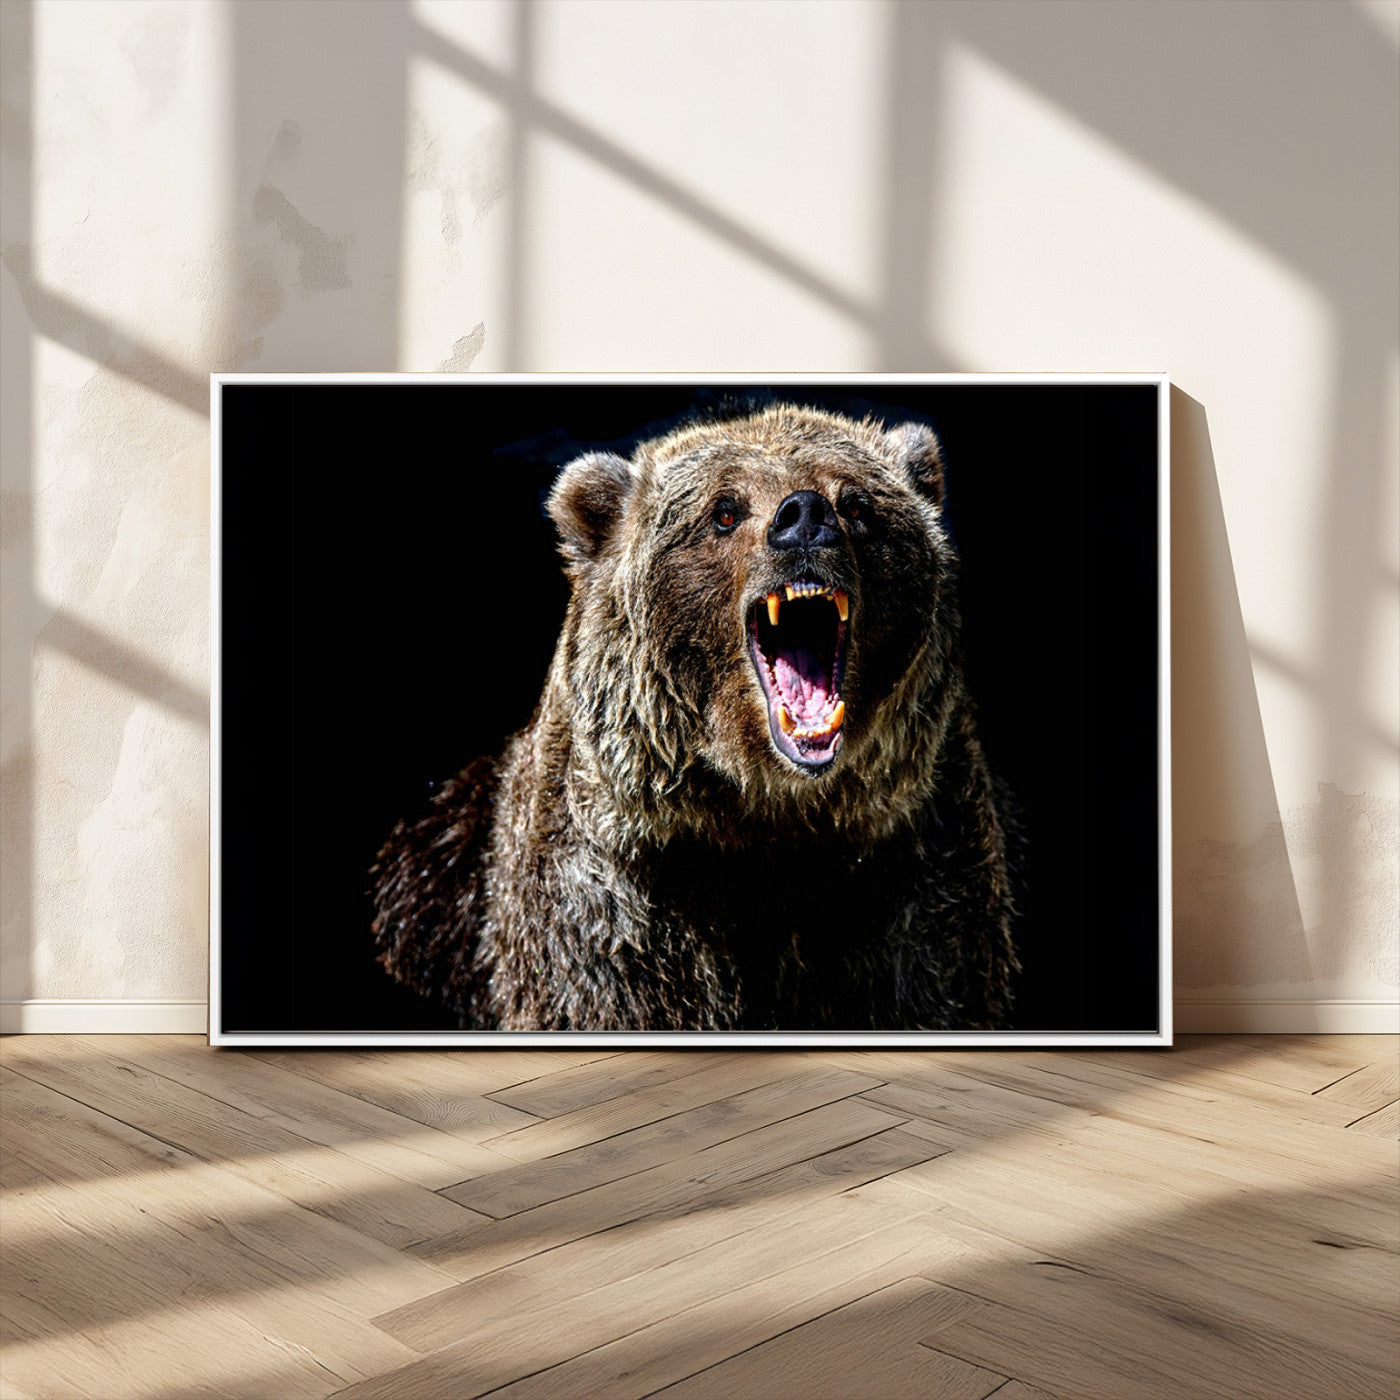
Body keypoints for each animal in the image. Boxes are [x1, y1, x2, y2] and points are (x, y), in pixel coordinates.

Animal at [370, 402, 1019, 1030]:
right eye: (724, 511)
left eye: (856, 503)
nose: (805, 517)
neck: (767, 819)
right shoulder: (618, 905)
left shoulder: (912, 881)